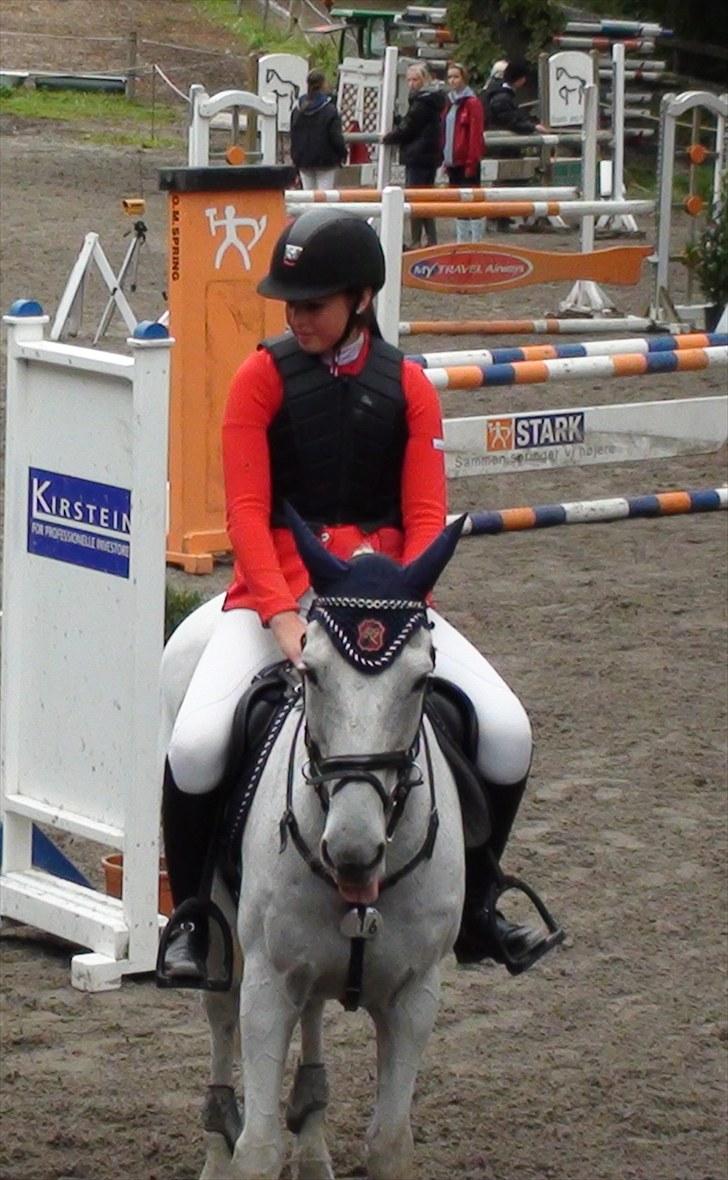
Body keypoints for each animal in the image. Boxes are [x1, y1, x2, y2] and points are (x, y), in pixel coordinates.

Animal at [162, 513, 468, 1180]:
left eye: (422, 679)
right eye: (311, 670)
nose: (352, 850)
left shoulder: (416, 998)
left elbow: (389, 1144)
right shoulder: (267, 987)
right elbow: (257, 1148)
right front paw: (245, 1151)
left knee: (315, 1014)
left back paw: (313, 1139)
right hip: (222, 944)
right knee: (220, 1021)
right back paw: (218, 1147)